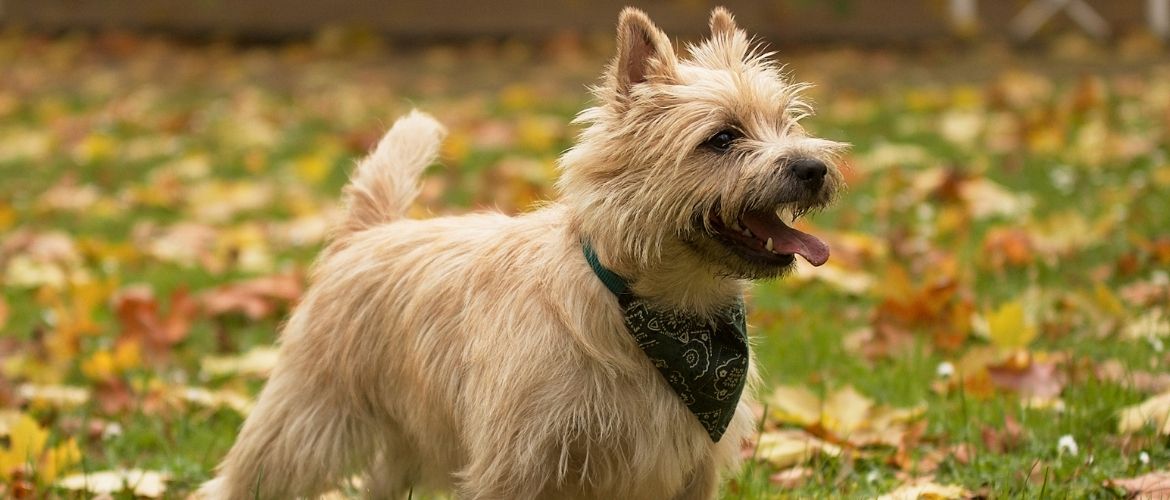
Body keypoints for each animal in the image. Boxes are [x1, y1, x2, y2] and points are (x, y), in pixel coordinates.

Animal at [198, 7, 842, 500]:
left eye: (787, 123)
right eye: (723, 138)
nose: (814, 167)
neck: (656, 312)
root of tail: (366, 232)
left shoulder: (689, 468)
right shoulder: (519, 462)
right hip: (304, 423)